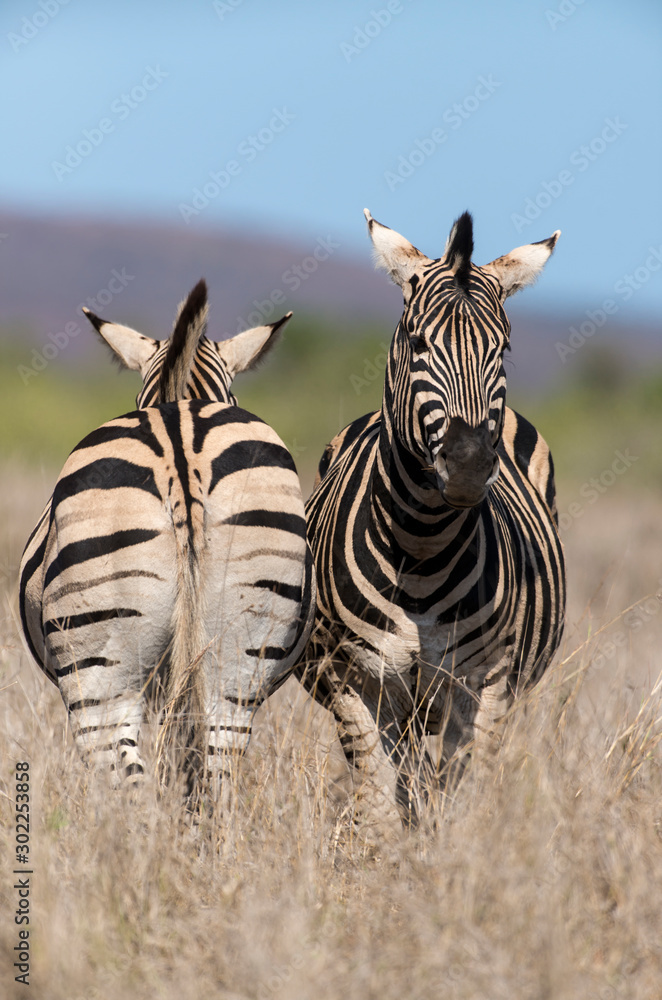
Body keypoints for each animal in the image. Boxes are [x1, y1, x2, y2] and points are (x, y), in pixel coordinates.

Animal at [298, 211, 566, 828]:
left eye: (503, 349)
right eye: (418, 342)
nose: (467, 465)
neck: (420, 548)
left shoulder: (485, 683)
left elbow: (464, 800)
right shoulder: (355, 680)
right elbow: (379, 804)